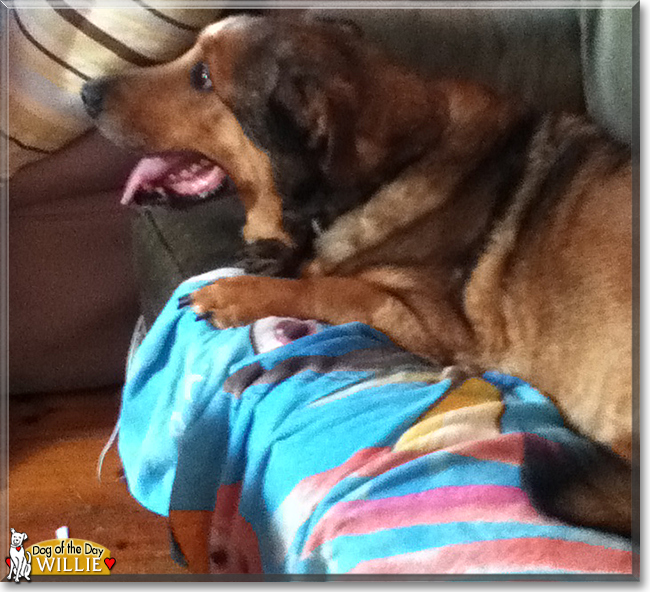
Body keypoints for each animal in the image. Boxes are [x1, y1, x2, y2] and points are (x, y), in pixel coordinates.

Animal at [82, 13, 632, 536]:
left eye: (201, 77)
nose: (87, 93)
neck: (388, 169)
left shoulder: (435, 330)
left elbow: (333, 288)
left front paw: (238, 292)